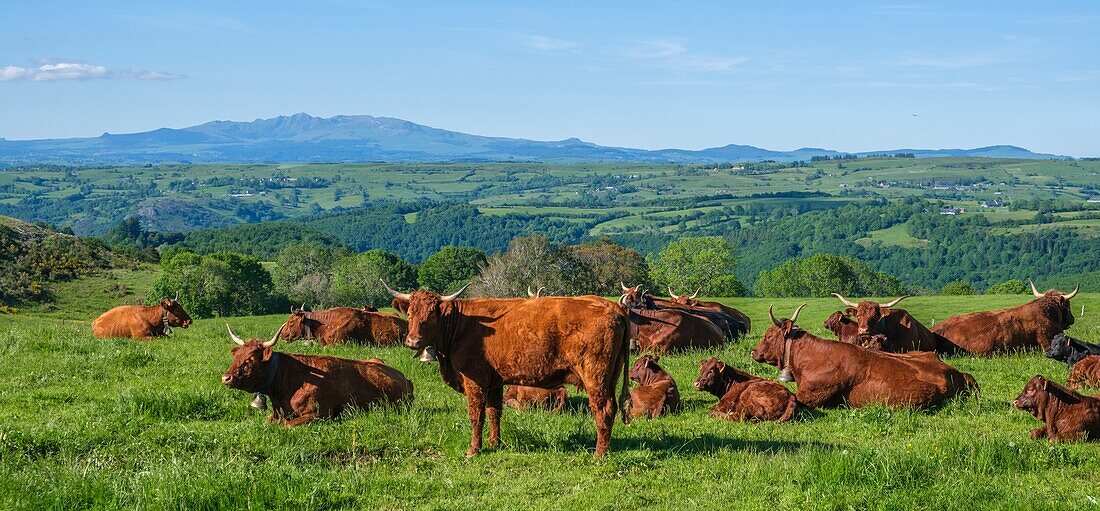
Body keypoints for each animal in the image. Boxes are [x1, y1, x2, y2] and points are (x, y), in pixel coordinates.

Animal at [218, 323, 413, 426]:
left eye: (251, 359)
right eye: (236, 356)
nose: (226, 378)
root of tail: (405, 378)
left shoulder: (319, 414)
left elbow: (287, 425)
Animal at [385, 281, 629, 457]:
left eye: (432, 315)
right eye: (410, 313)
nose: (413, 341)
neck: (462, 324)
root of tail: (612, 306)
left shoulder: (474, 381)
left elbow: (476, 415)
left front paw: (474, 450)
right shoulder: (494, 381)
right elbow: (495, 412)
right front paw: (495, 443)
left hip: (595, 377)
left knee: (604, 410)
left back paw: (599, 454)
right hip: (611, 376)